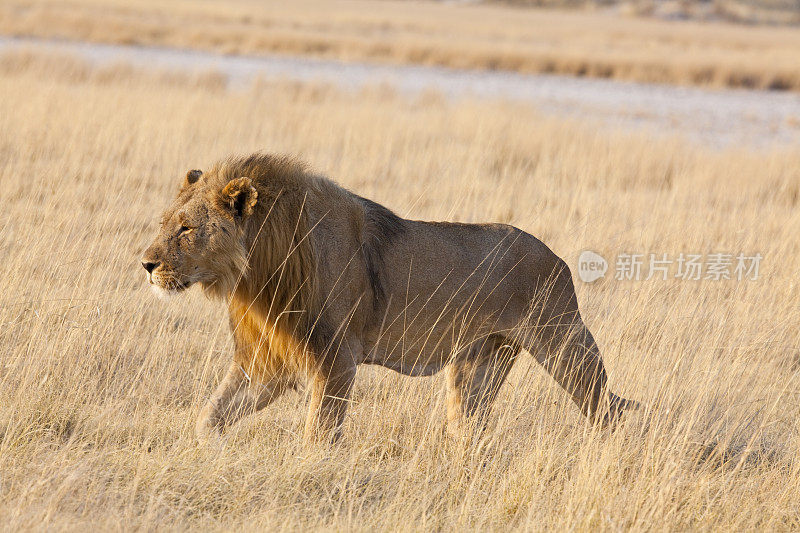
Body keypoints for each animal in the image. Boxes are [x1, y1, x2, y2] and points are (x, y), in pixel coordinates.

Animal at [139, 153, 636, 440]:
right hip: (479, 363)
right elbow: (210, 418)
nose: (145, 264)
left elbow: (319, 436)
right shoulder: (265, 361)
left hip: (565, 346)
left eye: (186, 229)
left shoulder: (336, 359)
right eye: (165, 223)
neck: (256, 274)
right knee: (469, 430)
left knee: (609, 411)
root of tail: (558, 258)